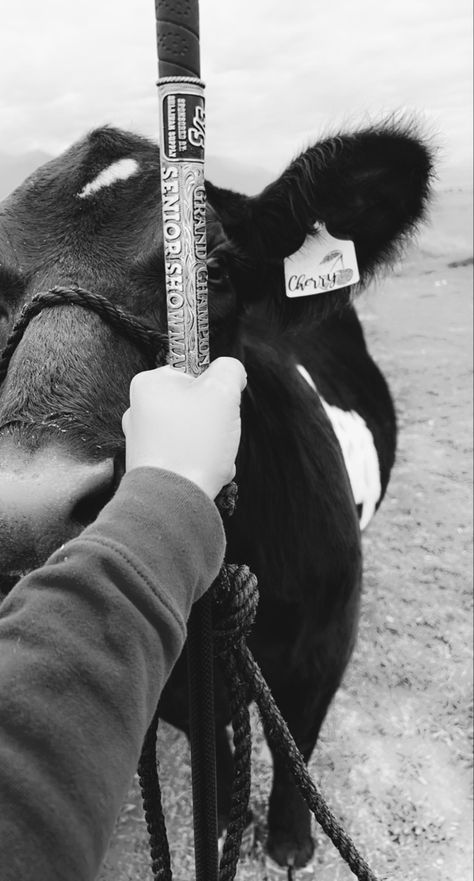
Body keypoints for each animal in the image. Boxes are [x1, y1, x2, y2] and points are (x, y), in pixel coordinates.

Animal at [0, 120, 432, 868]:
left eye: (216, 271)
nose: (30, 510)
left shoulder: (325, 647)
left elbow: (295, 752)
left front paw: (290, 841)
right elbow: (222, 751)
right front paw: (231, 821)